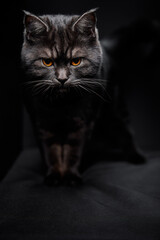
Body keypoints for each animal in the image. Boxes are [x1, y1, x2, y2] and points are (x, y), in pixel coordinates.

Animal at [20, 8, 144, 186]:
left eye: (76, 61)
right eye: (47, 62)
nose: (62, 78)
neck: (62, 104)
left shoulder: (84, 121)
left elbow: (74, 150)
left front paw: (71, 176)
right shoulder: (41, 122)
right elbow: (50, 151)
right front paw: (54, 176)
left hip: (115, 107)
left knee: (125, 129)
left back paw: (137, 156)